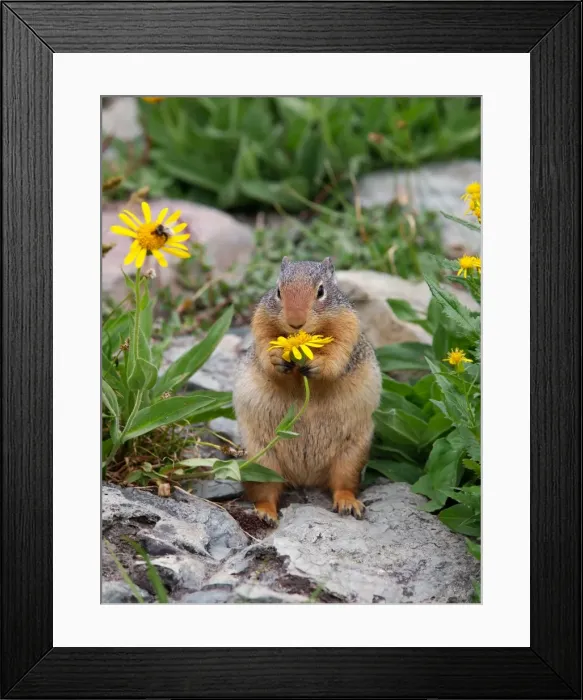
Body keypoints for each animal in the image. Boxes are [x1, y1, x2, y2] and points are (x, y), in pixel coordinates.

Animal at [233, 256, 381, 526]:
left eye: (321, 291)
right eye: (278, 291)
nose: (295, 322)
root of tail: (305, 478)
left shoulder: (348, 326)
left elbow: (337, 355)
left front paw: (318, 364)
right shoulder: (261, 322)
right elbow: (264, 348)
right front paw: (276, 358)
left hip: (351, 454)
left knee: (343, 484)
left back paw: (348, 504)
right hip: (261, 460)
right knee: (266, 491)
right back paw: (265, 513)